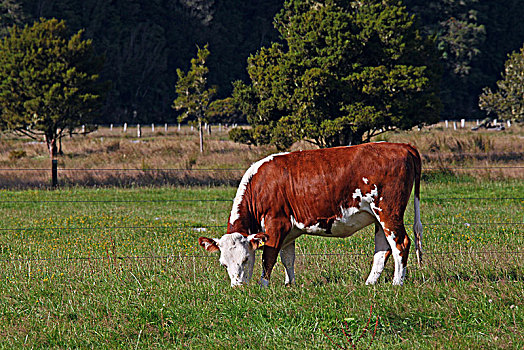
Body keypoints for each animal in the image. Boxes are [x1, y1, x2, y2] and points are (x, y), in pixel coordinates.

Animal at [199, 142, 424, 288]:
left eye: (245, 259)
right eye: (223, 263)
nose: (237, 287)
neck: (261, 185)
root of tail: (402, 146)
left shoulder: (276, 224)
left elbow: (268, 258)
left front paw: (264, 286)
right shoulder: (288, 231)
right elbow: (287, 258)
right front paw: (290, 284)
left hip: (388, 211)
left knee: (400, 244)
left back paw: (397, 283)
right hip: (379, 217)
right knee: (383, 249)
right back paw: (369, 283)